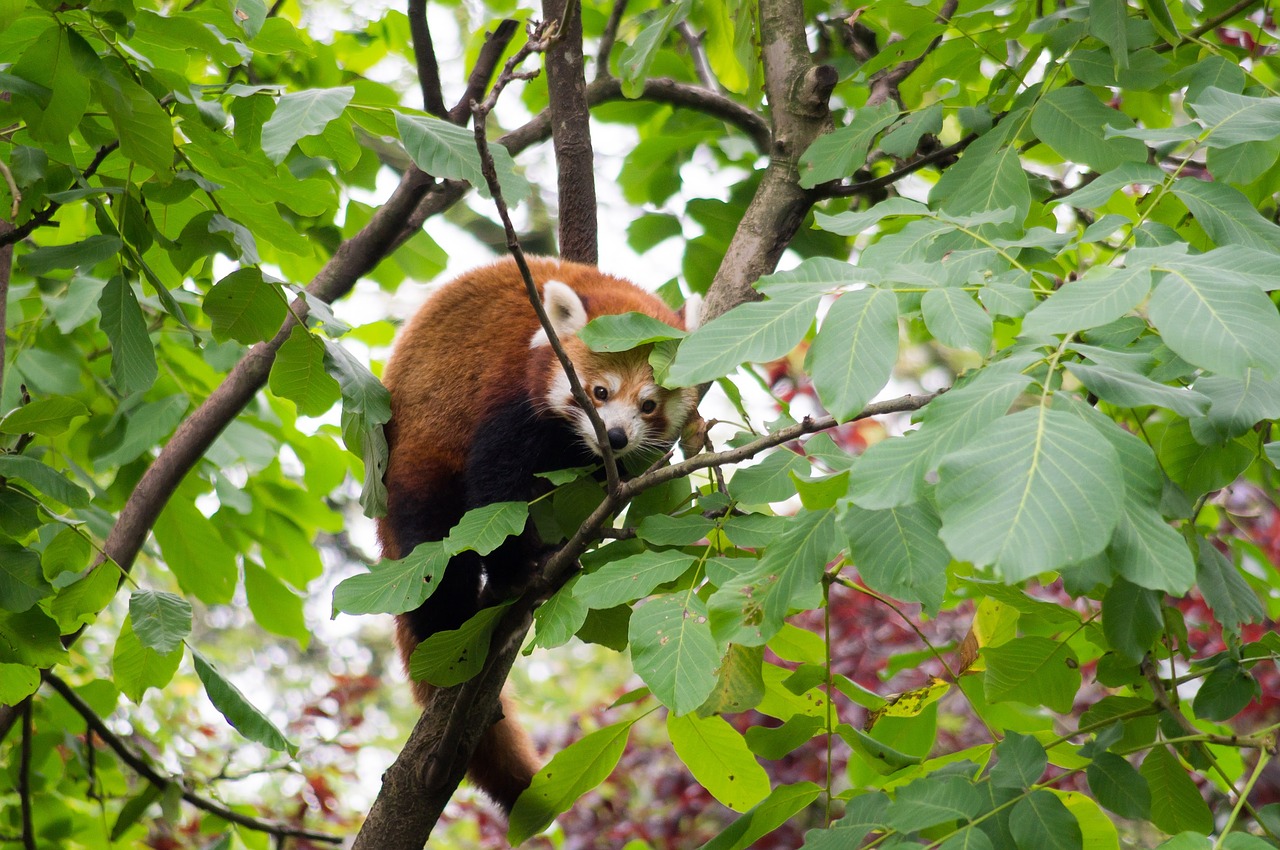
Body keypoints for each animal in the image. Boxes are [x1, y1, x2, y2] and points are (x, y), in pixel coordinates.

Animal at [376, 257, 701, 819]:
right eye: (599, 392)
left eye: (649, 404)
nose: (615, 437)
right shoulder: (509, 393)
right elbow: (495, 490)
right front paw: (515, 569)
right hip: (420, 456)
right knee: (435, 552)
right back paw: (453, 630)